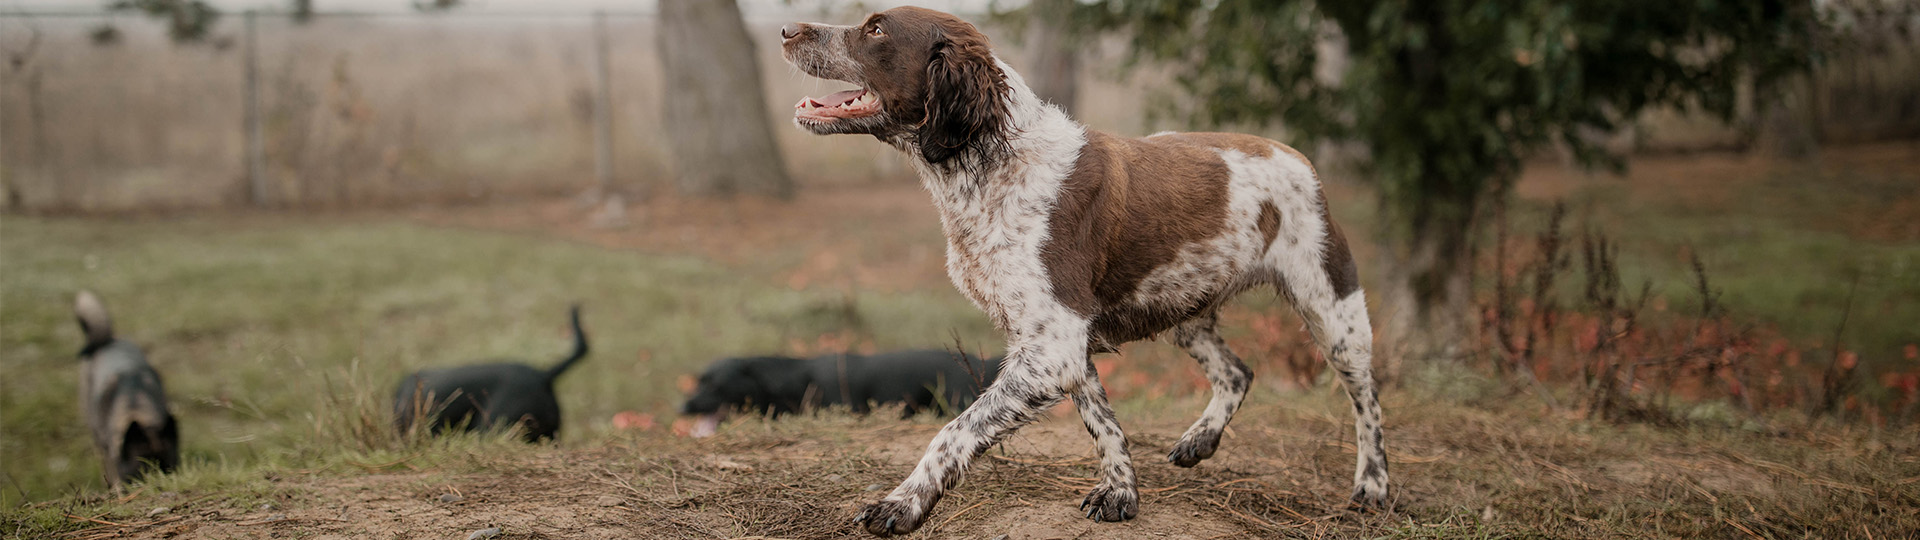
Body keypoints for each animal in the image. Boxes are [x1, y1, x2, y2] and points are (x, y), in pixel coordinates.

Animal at [73, 290, 180, 488]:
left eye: (168, 470)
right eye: (141, 473)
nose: (159, 485)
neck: (134, 402)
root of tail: (107, 341)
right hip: (96, 433)